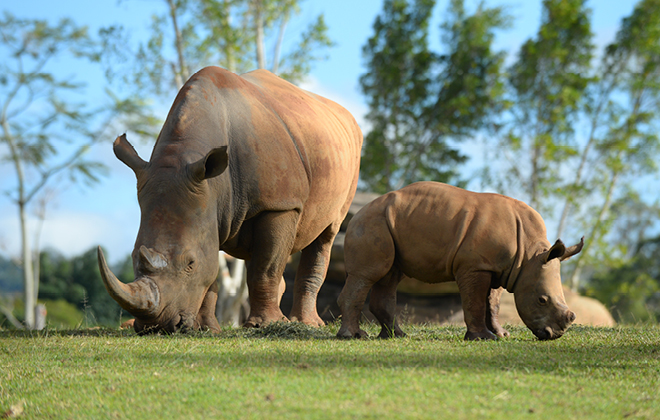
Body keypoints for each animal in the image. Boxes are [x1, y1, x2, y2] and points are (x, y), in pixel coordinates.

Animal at [99, 66, 360, 334]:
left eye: (190, 263)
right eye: (133, 256)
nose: (157, 327)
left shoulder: (279, 205)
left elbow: (266, 267)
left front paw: (265, 325)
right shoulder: (207, 204)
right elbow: (214, 269)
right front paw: (207, 329)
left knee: (325, 235)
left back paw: (303, 323)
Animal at [338, 182, 580, 340]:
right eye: (542, 300)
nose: (554, 335)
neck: (529, 256)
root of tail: (357, 211)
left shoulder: (501, 267)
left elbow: (493, 303)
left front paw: (501, 334)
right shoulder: (475, 266)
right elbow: (476, 301)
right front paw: (482, 338)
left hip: (388, 222)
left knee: (389, 276)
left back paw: (396, 336)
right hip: (371, 221)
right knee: (368, 275)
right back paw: (355, 336)